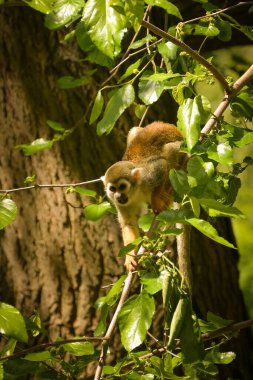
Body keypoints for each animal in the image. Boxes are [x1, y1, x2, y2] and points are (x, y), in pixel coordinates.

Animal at [102, 120, 184, 272]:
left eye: (122, 187)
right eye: (112, 189)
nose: (119, 195)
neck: (135, 192)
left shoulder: (148, 176)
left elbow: (161, 165)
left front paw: (156, 200)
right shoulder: (120, 204)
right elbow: (128, 224)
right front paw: (130, 258)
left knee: (169, 151)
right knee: (135, 131)